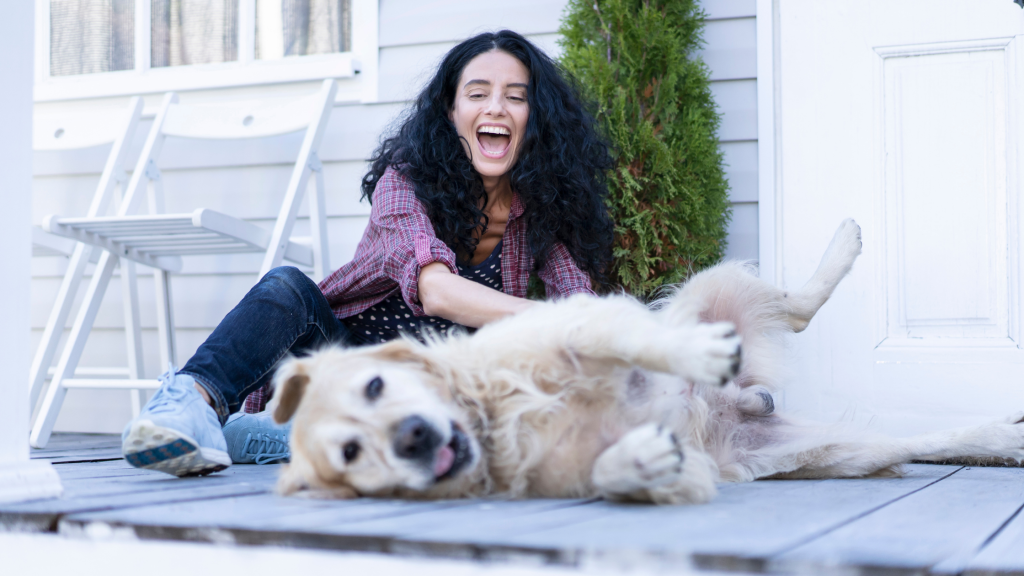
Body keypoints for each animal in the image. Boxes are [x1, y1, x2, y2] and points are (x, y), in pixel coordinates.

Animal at [266, 219, 1024, 502]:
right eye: (352, 455)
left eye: (375, 384)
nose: (414, 438)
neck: (491, 417)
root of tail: (738, 407)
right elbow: (614, 474)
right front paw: (633, 460)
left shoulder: (583, 320)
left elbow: (636, 338)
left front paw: (688, 352)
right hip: (826, 454)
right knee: (921, 442)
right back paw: (1001, 440)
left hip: (714, 288)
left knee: (794, 307)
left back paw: (843, 241)